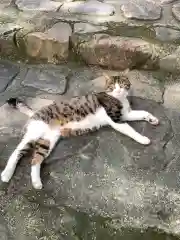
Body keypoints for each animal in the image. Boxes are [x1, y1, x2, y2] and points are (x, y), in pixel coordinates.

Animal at [0, 70, 159, 190]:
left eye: (122, 84)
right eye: (113, 86)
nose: (119, 90)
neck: (119, 99)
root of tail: (35, 112)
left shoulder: (126, 114)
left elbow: (143, 112)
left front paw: (152, 119)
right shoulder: (116, 119)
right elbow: (130, 130)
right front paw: (143, 139)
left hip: (48, 140)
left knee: (35, 160)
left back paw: (36, 182)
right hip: (35, 133)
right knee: (17, 152)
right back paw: (7, 174)